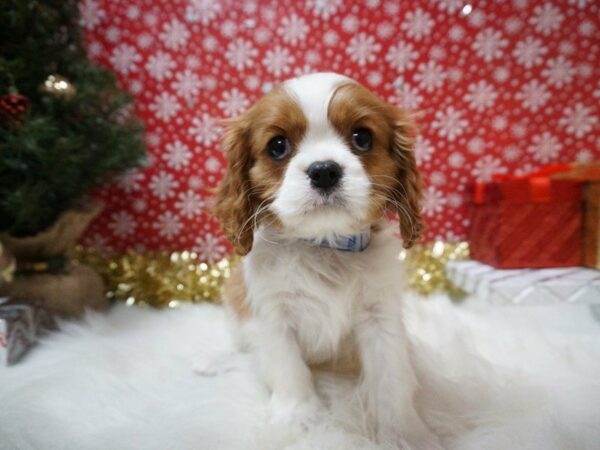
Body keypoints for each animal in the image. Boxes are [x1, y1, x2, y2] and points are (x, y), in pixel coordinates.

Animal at [213, 72, 438, 448]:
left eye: (362, 138)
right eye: (277, 146)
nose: (323, 171)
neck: (324, 245)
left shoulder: (380, 317)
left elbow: (391, 376)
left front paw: (403, 432)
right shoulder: (273, 317)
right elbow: (289, 371)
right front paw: (295, 421)